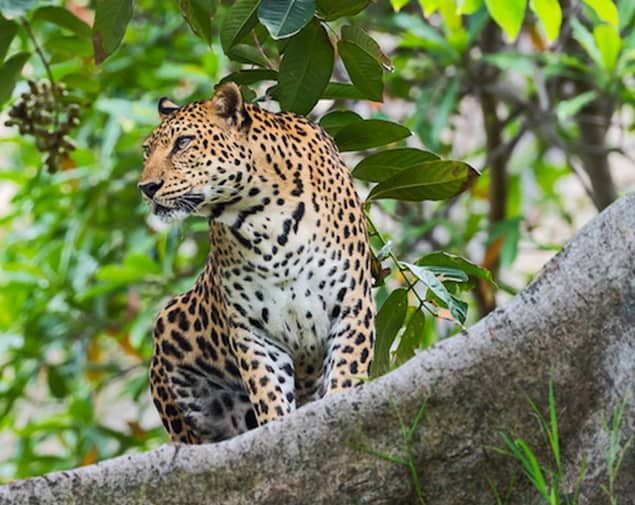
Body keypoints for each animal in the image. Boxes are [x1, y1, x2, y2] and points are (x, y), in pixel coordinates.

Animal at [139, 81, 376, 440]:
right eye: (146, 151)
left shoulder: (351, 304)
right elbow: (268, 390)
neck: (265, 219)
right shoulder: (253, 329)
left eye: (183, 143)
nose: (147, 188)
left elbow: (347, 370)